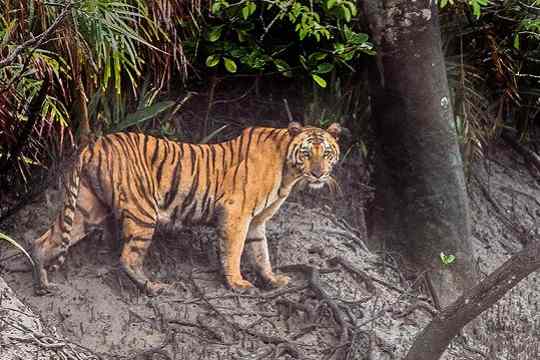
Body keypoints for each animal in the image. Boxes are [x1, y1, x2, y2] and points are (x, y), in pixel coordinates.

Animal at [30, 121, 342, 296]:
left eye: (326, 153)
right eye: (307, 153)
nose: (318, 174)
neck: (289, 172)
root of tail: (94, 145)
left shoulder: (256, 222)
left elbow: (260, 253)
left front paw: (273, 280)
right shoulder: (237, 214)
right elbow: (234, 251)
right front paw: (238, 284)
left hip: (87, 208)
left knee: (43, 241)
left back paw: (42, 283)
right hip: (143, 211)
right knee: (128, 257)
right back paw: (153, 288)